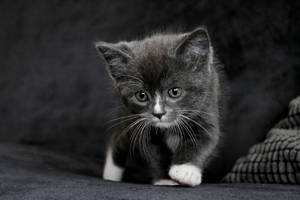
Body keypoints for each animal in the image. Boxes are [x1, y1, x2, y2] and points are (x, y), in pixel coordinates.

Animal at [96, 27, 225, 187]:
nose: (158, 113)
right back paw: (110, 174)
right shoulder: (143, 127)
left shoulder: (206, 106)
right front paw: (164, 180)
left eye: (175, 92)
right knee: (118, 140)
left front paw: (185, 171)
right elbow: (154, 154)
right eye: (141, 95)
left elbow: (205, 139)